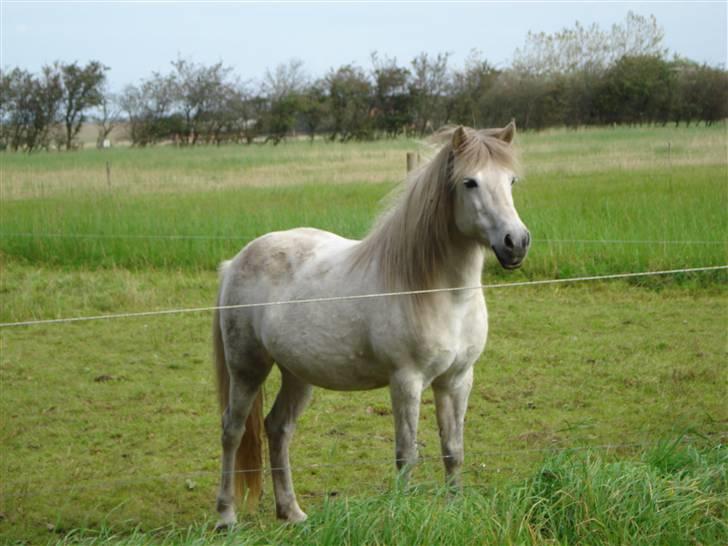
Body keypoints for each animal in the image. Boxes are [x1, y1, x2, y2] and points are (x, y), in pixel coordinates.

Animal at [210, 124, 528, 528]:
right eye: (469, 182)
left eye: (511, 181)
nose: (516, 243)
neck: (439, 292)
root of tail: (235, 262)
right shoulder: (406, 381)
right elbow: (406, 454)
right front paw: (402, 515)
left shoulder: (456, 380)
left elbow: (453, 450)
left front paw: (455, 511)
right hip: (247, 368)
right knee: (232, 431)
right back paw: (226, 516)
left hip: (297, 374)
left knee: (277, 428)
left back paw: (292, 512)